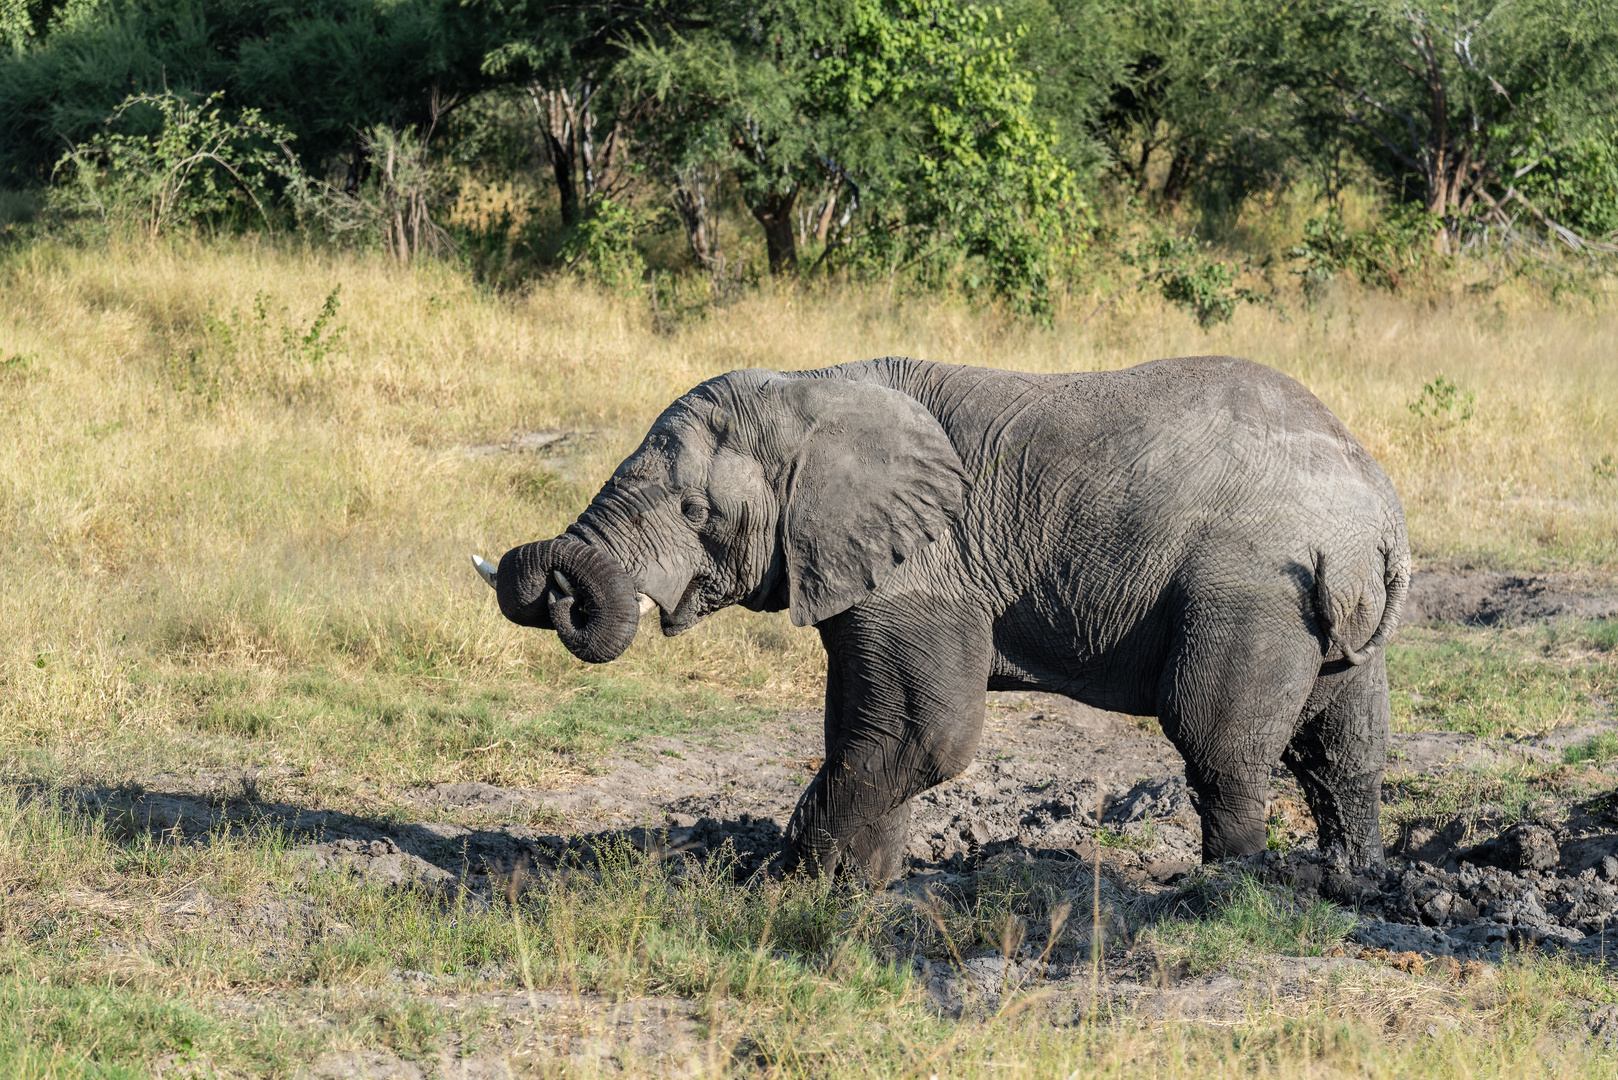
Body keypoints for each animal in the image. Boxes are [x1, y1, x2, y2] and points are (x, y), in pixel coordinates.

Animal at [472, 359, 1410, 880]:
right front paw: (860, 887)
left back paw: (1225, 895)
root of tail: (1379, 515)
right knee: (1344, 746)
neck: (811, 390)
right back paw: (1354, 886)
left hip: (1252, 589)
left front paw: (788, 886)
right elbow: (867, 727)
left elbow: (924, 737)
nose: (555, 588)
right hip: (1320, 612)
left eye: (697, 512)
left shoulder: (929, 565)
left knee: (1220, 745)